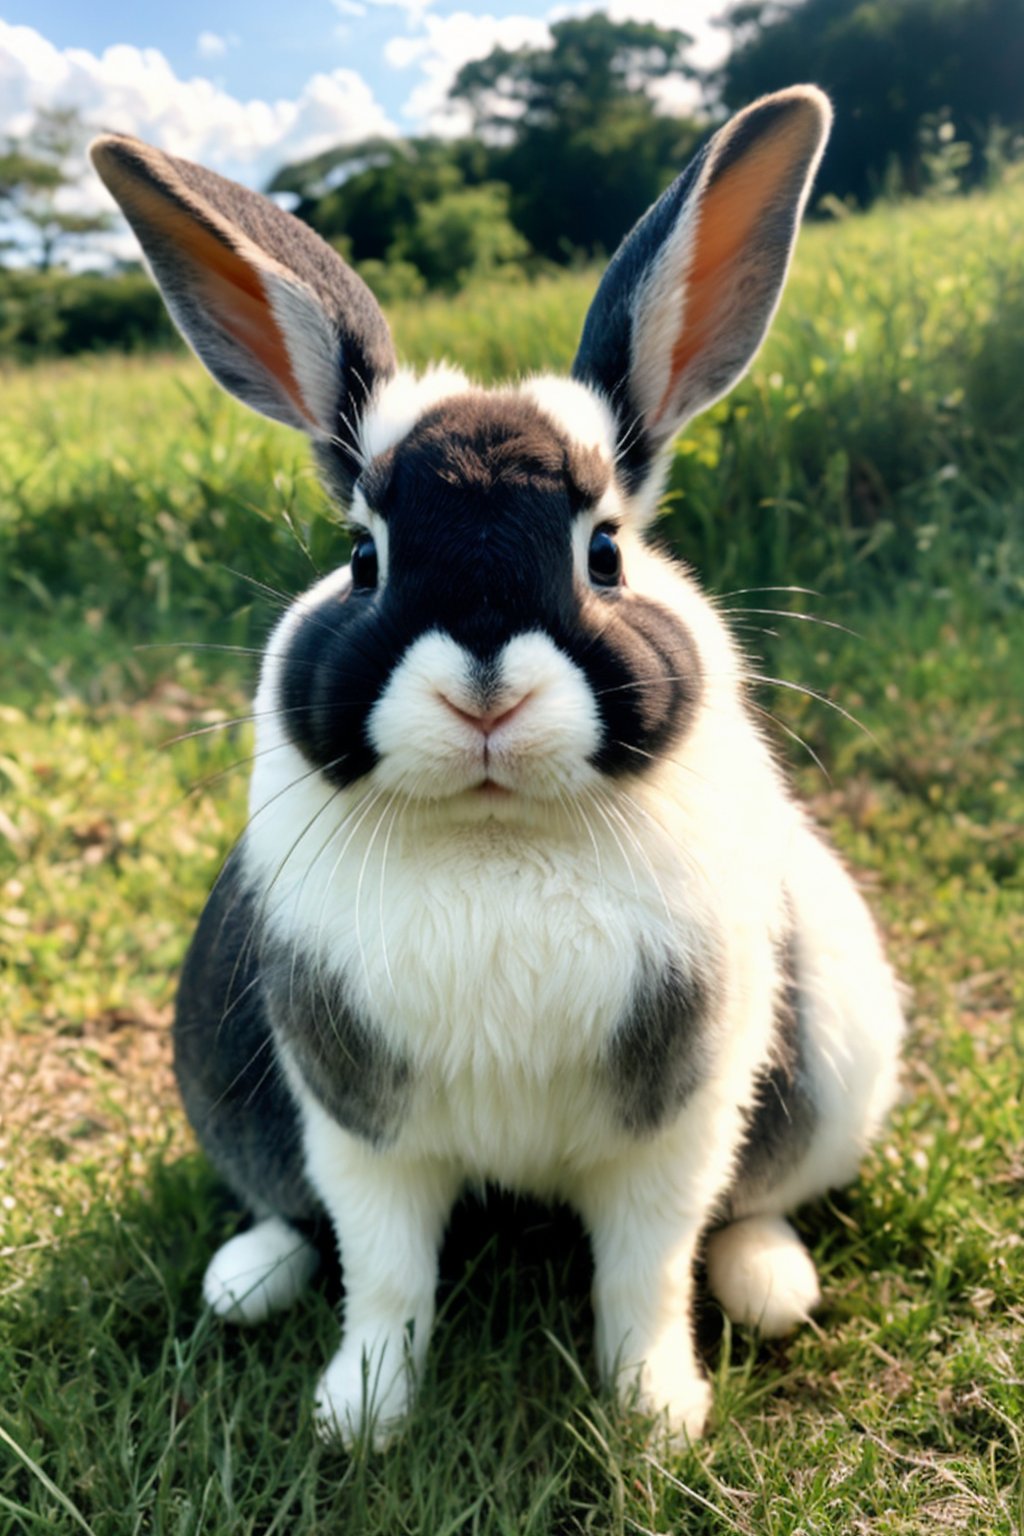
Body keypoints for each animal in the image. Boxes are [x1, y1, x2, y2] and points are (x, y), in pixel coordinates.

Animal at [90, 84, 902, 1443]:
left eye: (605, 552)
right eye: (363, 556)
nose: (485, 690)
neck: (495, 837)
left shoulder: (675, 1125)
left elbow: (645, 1269)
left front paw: (654, 1419)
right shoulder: (363, 1130)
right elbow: (385, 1273)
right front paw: (360, 1415)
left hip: (835, 1055)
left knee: (752, 1205)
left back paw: (772, 1284)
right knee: (286, 1212)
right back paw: (244, 1279)